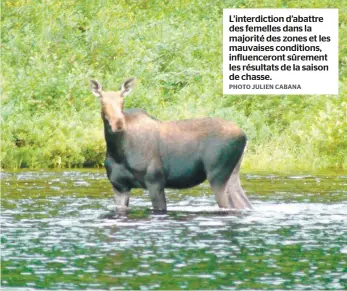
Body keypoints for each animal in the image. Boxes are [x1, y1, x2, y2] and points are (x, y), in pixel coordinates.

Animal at [90, 77, 253, 214]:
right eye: (102, 101)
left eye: (122, 101)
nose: (118, 124)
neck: (118, 151)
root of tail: (245, 136)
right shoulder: (119, 186)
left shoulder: (155, 181)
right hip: (232, 174)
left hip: (217, 174)